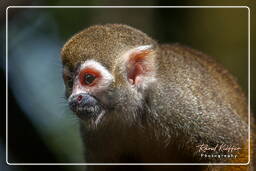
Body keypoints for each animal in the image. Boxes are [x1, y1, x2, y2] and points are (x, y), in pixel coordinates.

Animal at [60, 24, 252, 171]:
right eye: (69, 82)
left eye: (88, 79)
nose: (75, 98)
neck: (135, 111)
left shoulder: (175, 100)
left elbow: (234, 144)